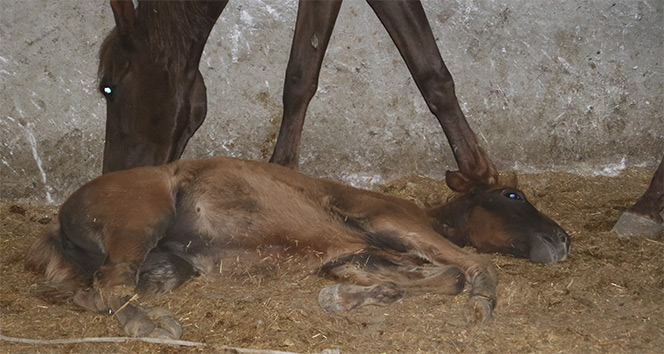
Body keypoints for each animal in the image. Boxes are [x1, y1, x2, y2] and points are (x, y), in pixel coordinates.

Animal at [27, 157, 572, 338]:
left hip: (174, 263)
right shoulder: (386, 224)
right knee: (113, 281)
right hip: (139, 224)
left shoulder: (353, 254)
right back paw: (152, 326)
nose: (564, 239)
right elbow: (467, 269)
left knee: (97, 290)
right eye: (512, 195)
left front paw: (347, 298)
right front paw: (483, 302)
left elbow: (410, 278)